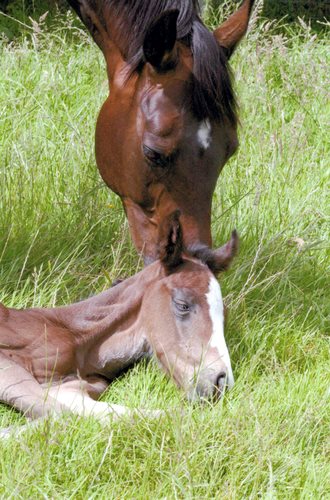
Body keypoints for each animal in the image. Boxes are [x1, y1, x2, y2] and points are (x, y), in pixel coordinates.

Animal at [0, 213, 237, 436]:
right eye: (183, 304)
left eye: (224, 314)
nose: (221, 382)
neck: (77, 335)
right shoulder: (10, 365)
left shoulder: (70, 389)